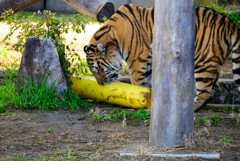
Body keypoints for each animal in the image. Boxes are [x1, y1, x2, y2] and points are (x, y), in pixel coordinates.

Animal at [84, 4, 240, 112]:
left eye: (98, 69)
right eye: (93, 71)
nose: (101, 84)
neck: (113, 38)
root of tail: (229, 22)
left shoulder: (137, 62)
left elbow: (138, 84)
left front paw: (137, 101)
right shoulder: (147, 62)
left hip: (203, 62)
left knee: (207, 90)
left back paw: (192, 108)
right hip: (212, 62)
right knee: (215, 87)